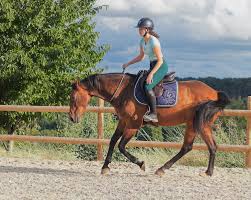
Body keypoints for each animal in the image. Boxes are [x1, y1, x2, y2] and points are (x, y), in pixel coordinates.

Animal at [68, 72, 229, 176]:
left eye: (73, 98)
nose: (72, 117)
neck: (124, 91)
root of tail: (215, 92)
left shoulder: (133, 125)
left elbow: (121, 146)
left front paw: (140, 163)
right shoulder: (123, 121)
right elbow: (113, 141)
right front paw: (105, 167)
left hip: (201, 124)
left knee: (206, 147)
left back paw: (206, 172)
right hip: (193, 124)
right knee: (191, 147)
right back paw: (166, 169)